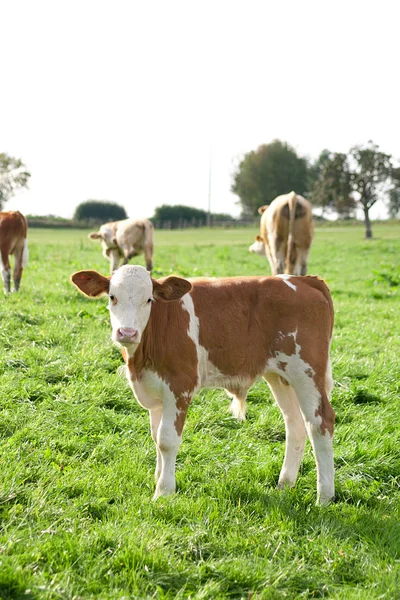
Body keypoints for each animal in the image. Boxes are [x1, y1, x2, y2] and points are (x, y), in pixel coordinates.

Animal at [71, 264, 334, 504]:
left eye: (148, 299)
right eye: (112, 297)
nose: (127, 333)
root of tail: (304, 280)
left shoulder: (179, 386)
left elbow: (166, 440)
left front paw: (164, 491)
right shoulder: (154, 391)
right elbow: (156, 437)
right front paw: (158, 478)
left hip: (306, 371)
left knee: (320, 422)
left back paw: (324, 496)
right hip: (280, 375)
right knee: (295, 424)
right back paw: (285, 483)